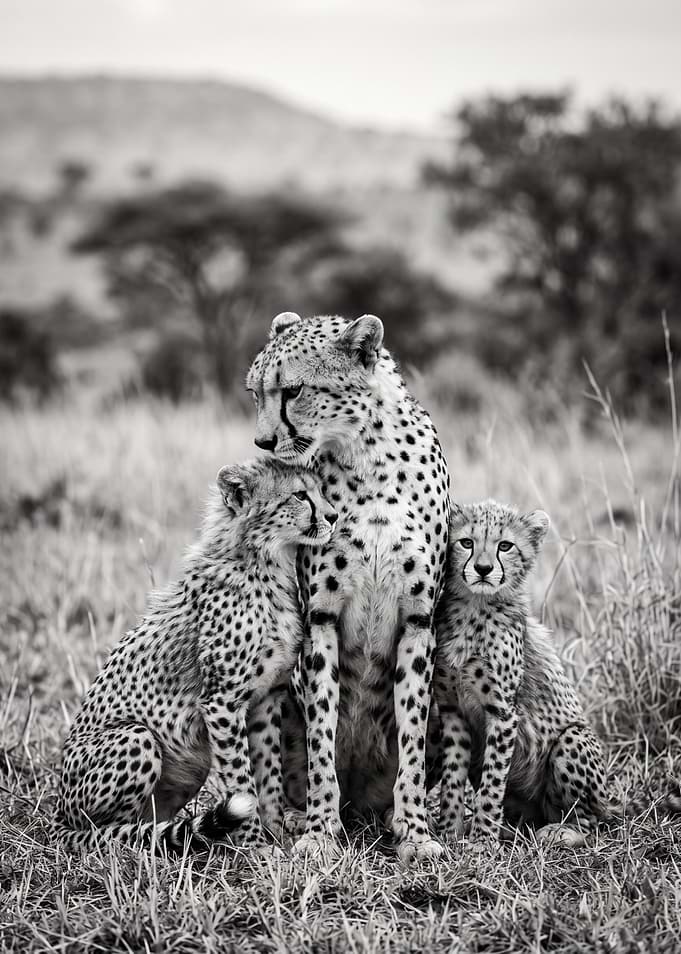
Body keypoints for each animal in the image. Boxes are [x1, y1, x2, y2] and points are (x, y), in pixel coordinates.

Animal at [56, 457, 337, 853]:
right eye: (300, 495)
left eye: (321, 491)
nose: (334, 516)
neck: (266, 562)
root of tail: (58, 814)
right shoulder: (222, 703)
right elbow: (241, 778)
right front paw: (252, 845)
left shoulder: (267, 697)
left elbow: (268, 773)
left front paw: (275, 832)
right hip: (136, 737)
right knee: (104, 831)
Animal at [246, 311, 451, 863]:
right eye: (254, 393)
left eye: (293, 390)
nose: (263, 444)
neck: (367, 455)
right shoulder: (320, 619)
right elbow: (321, 737)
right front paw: (320, 833)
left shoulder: (419, 621)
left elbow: (411, 741)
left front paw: (415, 832)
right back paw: (292, 820)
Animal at [434, 498, 614, 847]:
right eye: (466, 543)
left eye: (505, 546)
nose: (483, 569)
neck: (474, 608)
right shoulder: (453, 712)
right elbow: (452, 777)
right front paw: (449, 833)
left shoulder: (503, 713)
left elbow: (492, 783)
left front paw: (482, 842)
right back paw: (510, 828)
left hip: (572, 740)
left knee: (589, 822)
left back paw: (561, 832)